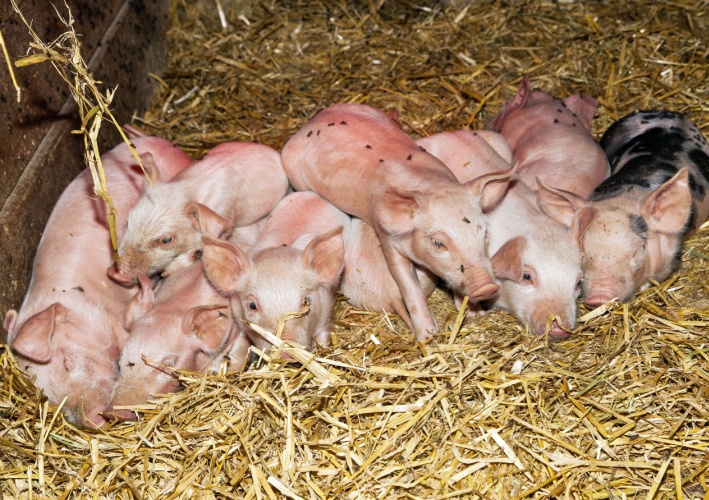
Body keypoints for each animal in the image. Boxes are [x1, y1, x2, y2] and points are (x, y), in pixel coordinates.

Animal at [108, 141, 289, 284]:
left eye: (166, 240)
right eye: (128, 222)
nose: (117, 272)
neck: (187, 191)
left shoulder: (226, 222)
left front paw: (167, 272)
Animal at [202, 191, 346, 352]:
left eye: (305, 301)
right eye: (252, 305)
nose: (284, 353)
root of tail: (314, 196)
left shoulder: (326, 309)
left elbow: (323, 336)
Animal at [281, 103, 514, 342]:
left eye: (484, 232)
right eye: (438, 243)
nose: (487, 287)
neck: (429, 182)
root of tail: (314, 120)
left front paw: (475, 314)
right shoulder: (386, 237)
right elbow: (408, 286)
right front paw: (427, 337)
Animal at [543, 110, 709, 306]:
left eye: (639, 250)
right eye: (583, 251)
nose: (599, 296)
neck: (626, 195)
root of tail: (665, 112)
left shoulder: (673, 255)